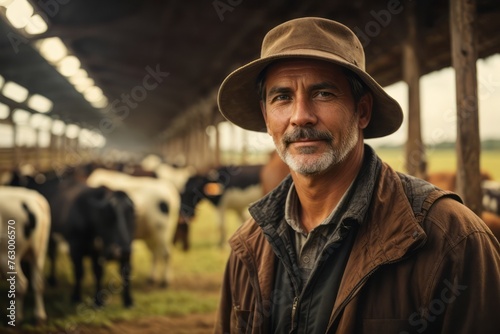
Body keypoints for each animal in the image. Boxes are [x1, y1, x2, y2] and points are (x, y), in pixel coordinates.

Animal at [0, 185, 51, 324]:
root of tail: (34, 198)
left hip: (8, 255)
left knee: (21, 284)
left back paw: (17, 318)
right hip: (39, 253)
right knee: (38, 283)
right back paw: (39, 316)